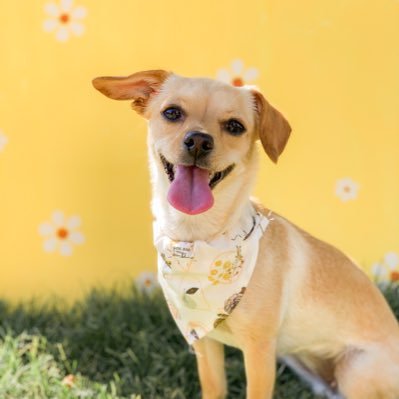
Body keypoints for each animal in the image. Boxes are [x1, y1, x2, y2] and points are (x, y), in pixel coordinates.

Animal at [92, 72, 399, 399]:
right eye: (172, 113)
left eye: (235, 126)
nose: (198, 140)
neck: (198, 239)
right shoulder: (204, 341)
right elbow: (213, 388)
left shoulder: (259, 349)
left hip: (354, 371)